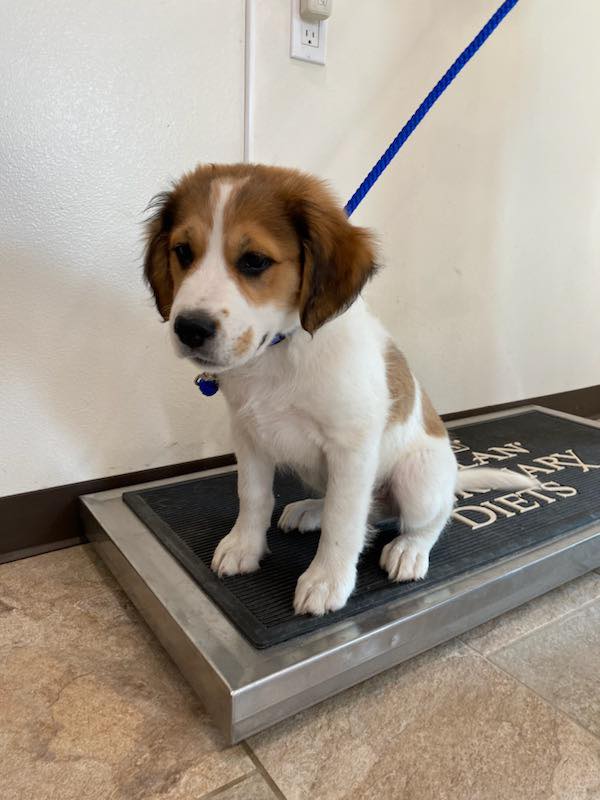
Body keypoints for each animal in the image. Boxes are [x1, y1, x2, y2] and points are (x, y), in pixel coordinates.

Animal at [144, 161, 536, 612]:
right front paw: (244, 546)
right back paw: (311, 510)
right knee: (367, 513)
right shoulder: (248, 436)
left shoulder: (351, 449)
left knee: (429, 517)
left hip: (418, 479)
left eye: (255, 261)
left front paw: (327, 580)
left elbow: (343, 520)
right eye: (183, 252)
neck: (282, 351)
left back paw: (410, 549)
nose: (189, 329)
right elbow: (254, 496)